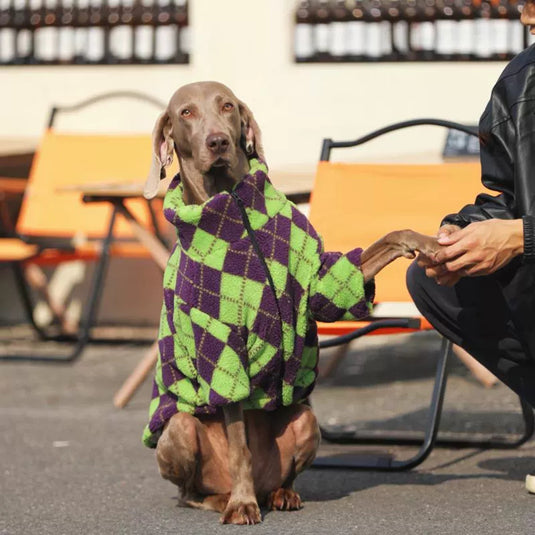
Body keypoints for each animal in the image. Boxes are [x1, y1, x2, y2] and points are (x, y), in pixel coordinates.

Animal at [144, 81, 442, 524]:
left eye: (226, 106)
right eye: (186, 113)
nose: (218, 141)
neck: (233, 206)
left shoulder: (320, 281)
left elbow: (379, 246)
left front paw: (429, 243)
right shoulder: (220, 346)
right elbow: (239, 444)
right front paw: (242, 505)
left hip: (305, 420)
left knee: (286, 473)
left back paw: (282, 494)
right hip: (179, 431)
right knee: (189, 491)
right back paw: (228, 498)